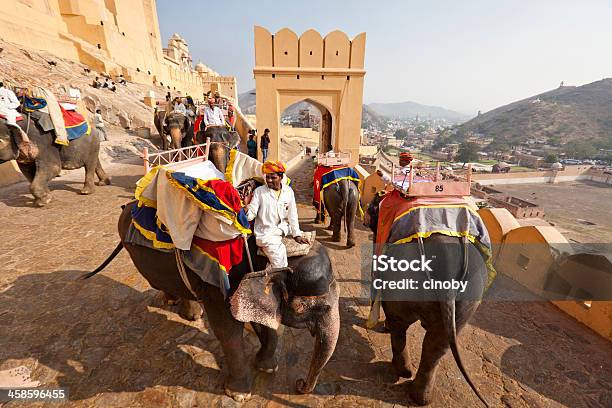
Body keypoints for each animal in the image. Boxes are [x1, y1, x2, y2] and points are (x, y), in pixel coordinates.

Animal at [366, 196, 490, 406]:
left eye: (371, 210)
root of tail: (447, 263)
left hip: (402, 278)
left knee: (400, 325)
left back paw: (402, 371)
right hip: (470, 296)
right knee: (437, 343)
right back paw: (420, 397)